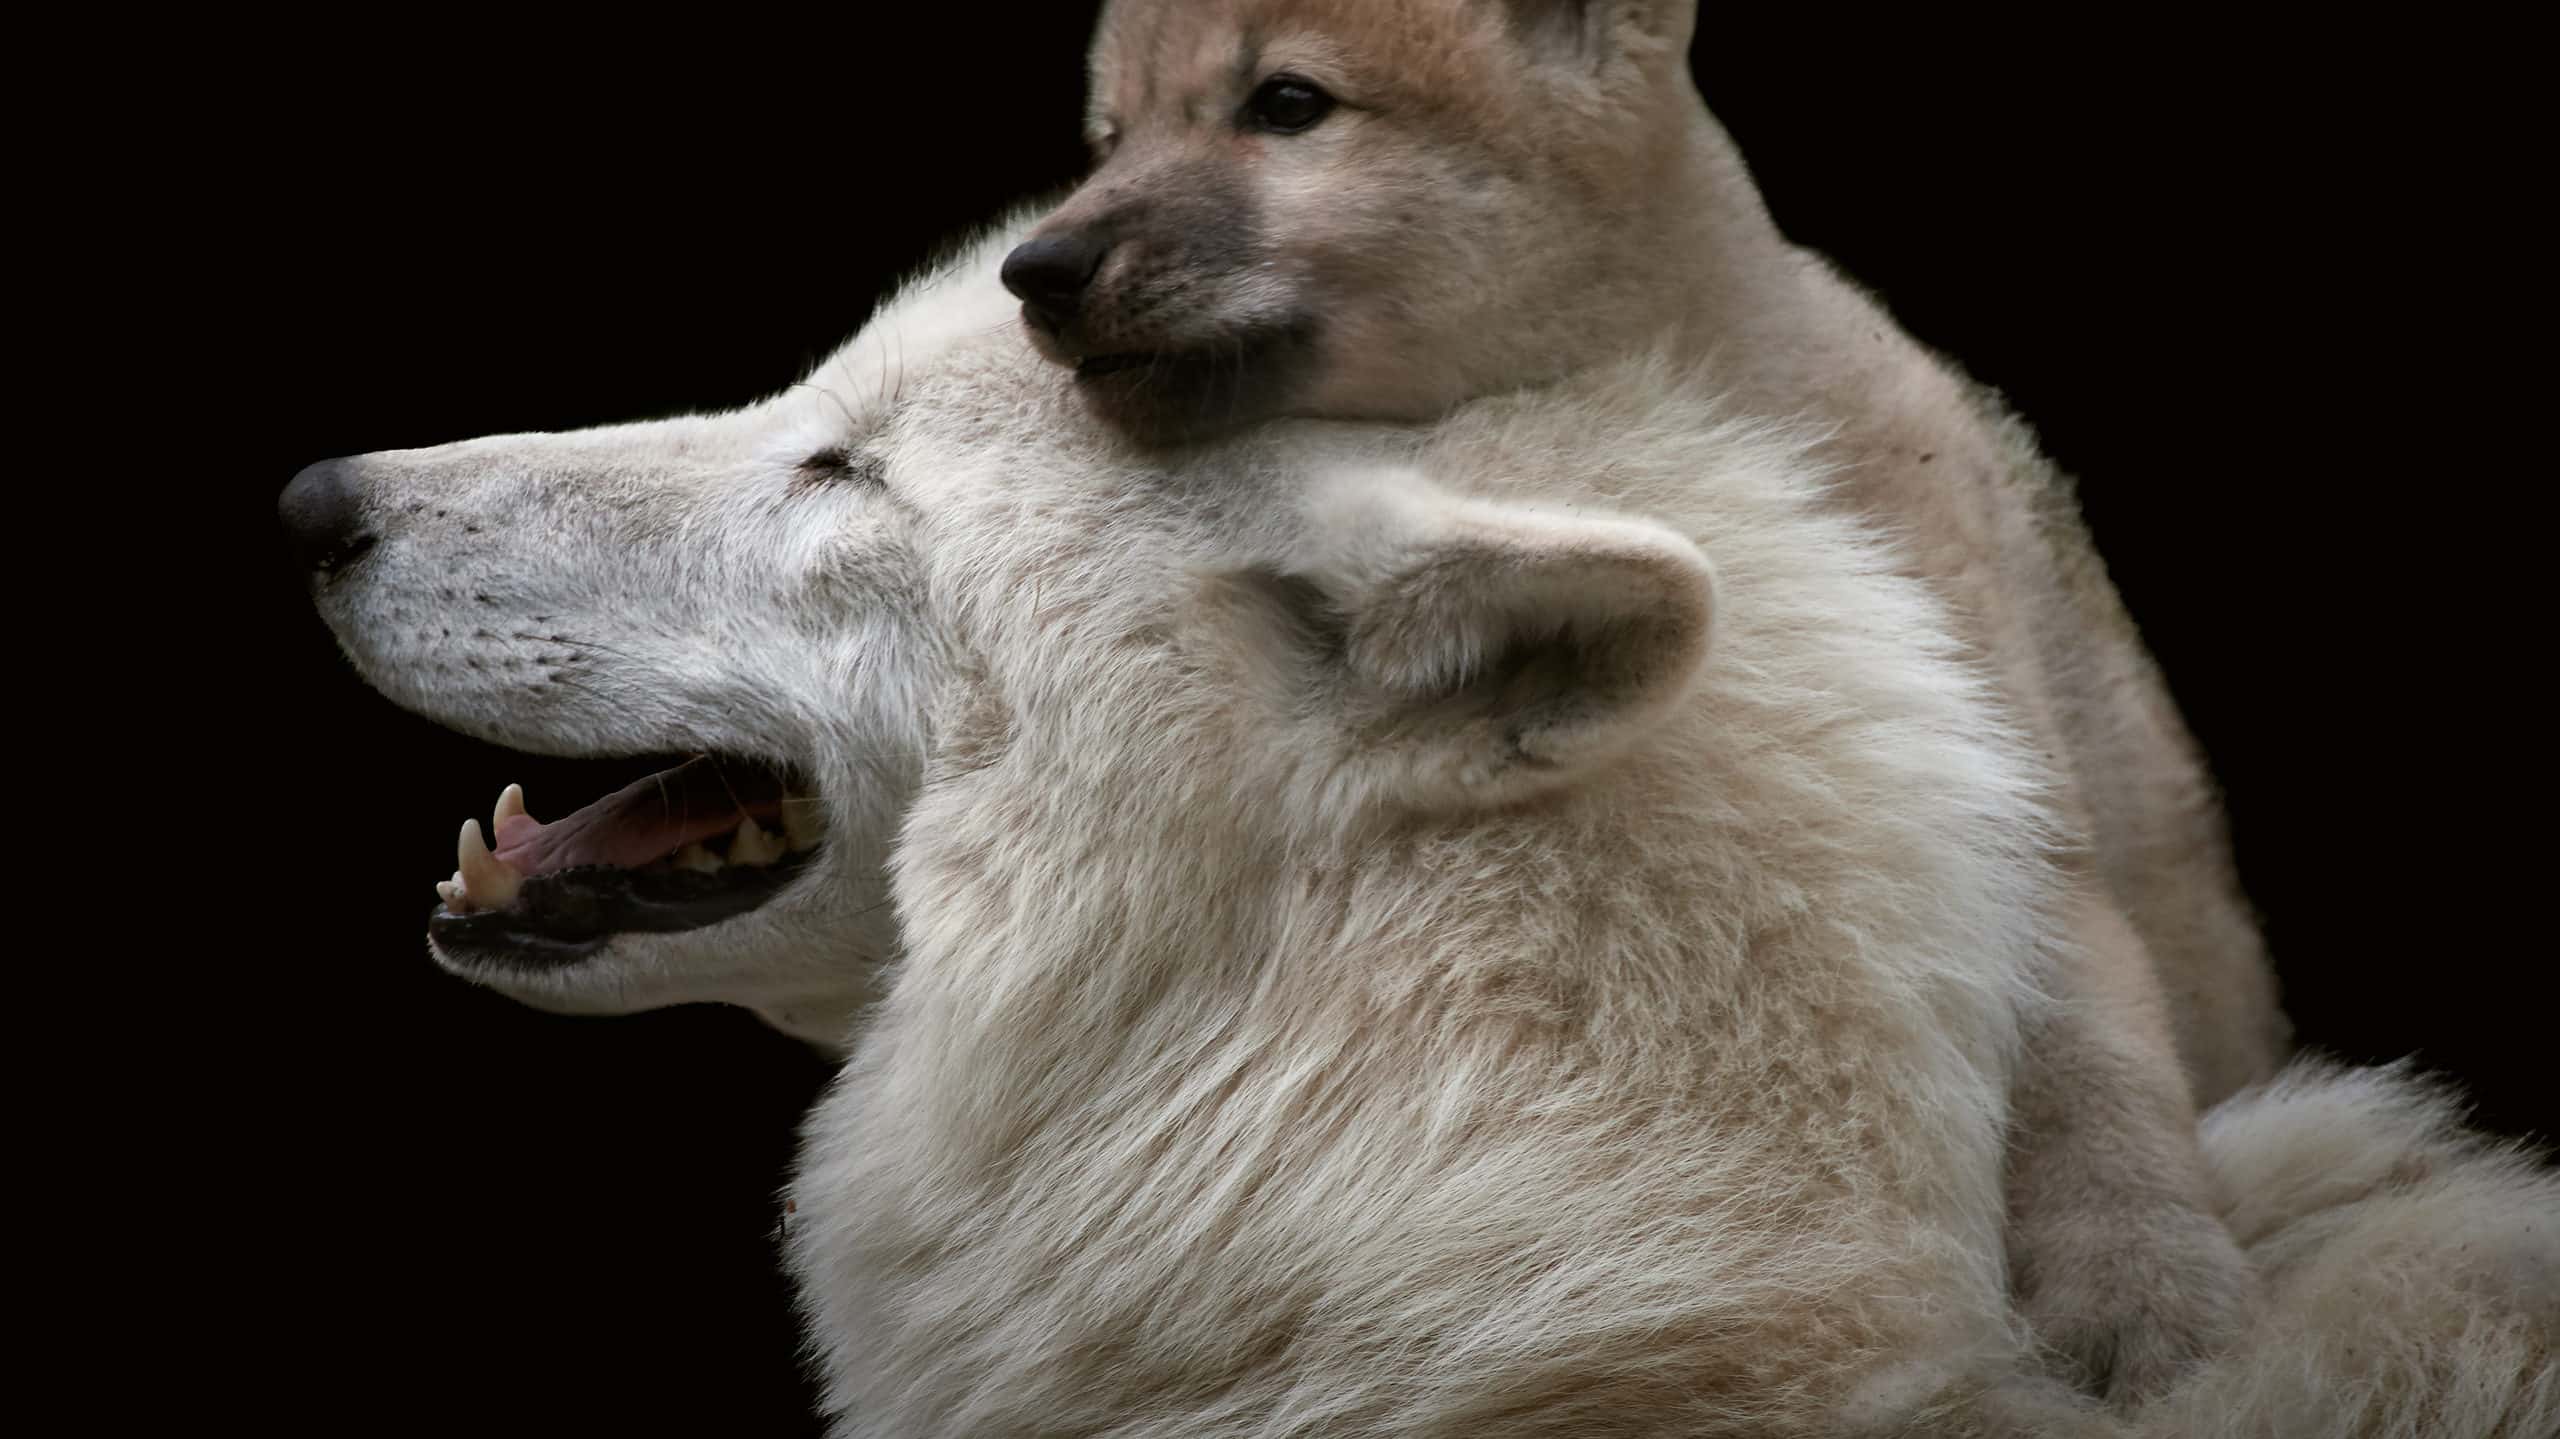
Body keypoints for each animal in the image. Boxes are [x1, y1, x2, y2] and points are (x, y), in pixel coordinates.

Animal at [995, 0, 2289, 1398]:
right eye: (1110, 136)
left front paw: (2141, 1296)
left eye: (1286, 104)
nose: (1038, 266)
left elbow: (2086, 1051)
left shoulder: (2003, 783)